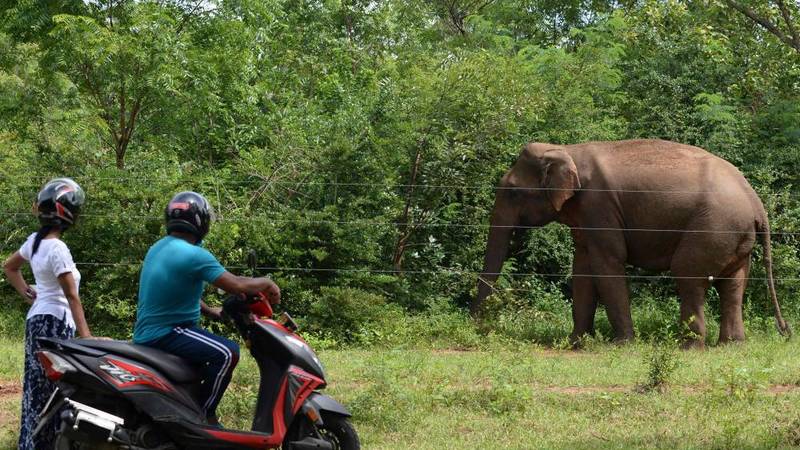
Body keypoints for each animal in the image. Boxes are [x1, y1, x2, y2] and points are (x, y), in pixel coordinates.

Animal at [472, 139, 789, 348]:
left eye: (512, 192)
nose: (478, 327)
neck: (567, 149)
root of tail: (757, 203)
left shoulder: (599, 206)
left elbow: (607, 264)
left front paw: (622, 344)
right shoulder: (586, 216)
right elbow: (582, 268)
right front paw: (575, 343)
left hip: (713, 227)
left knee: (688, 274)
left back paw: (688, 346)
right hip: (735, 236)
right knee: (733, 284)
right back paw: (731, 345)